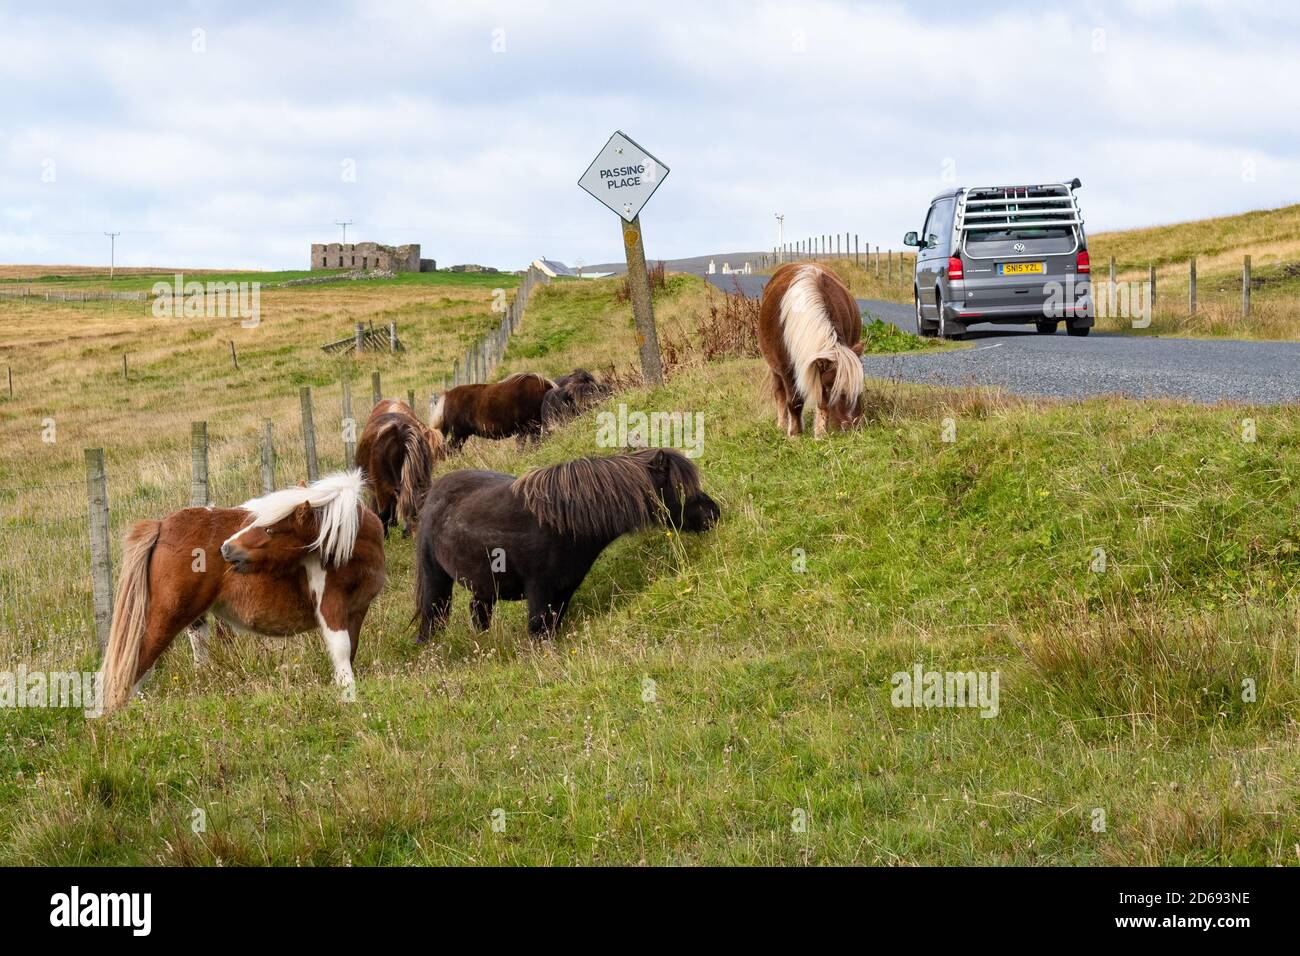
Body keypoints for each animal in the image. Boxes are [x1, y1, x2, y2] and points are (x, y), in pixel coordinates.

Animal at [98, 470, 382, 712]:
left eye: (270, 529)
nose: (226, 548)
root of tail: (161, 525)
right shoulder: (330, 606)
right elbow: (341, 649)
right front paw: (348, 696)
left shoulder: (357, 611)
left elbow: (350, 650)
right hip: (166, 617)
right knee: (138, 660)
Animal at [416, 447, 722, 642]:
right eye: (680, 486)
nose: (713, 513)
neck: (562, 521)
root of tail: (432, 493)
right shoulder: (539, 591)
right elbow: (539, 632)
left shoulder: (564, 590)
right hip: (436, 580)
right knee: (433, 619)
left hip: (484, 584)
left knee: (478, 613)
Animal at [754, 264, 863, 439]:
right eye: (832, 387)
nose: (853, 424)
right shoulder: (788, 369)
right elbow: (794, 401)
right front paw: (794, 434)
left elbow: (822, 403)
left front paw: (820, 433)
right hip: (775, 370)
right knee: (779, 393)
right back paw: (781, 424)